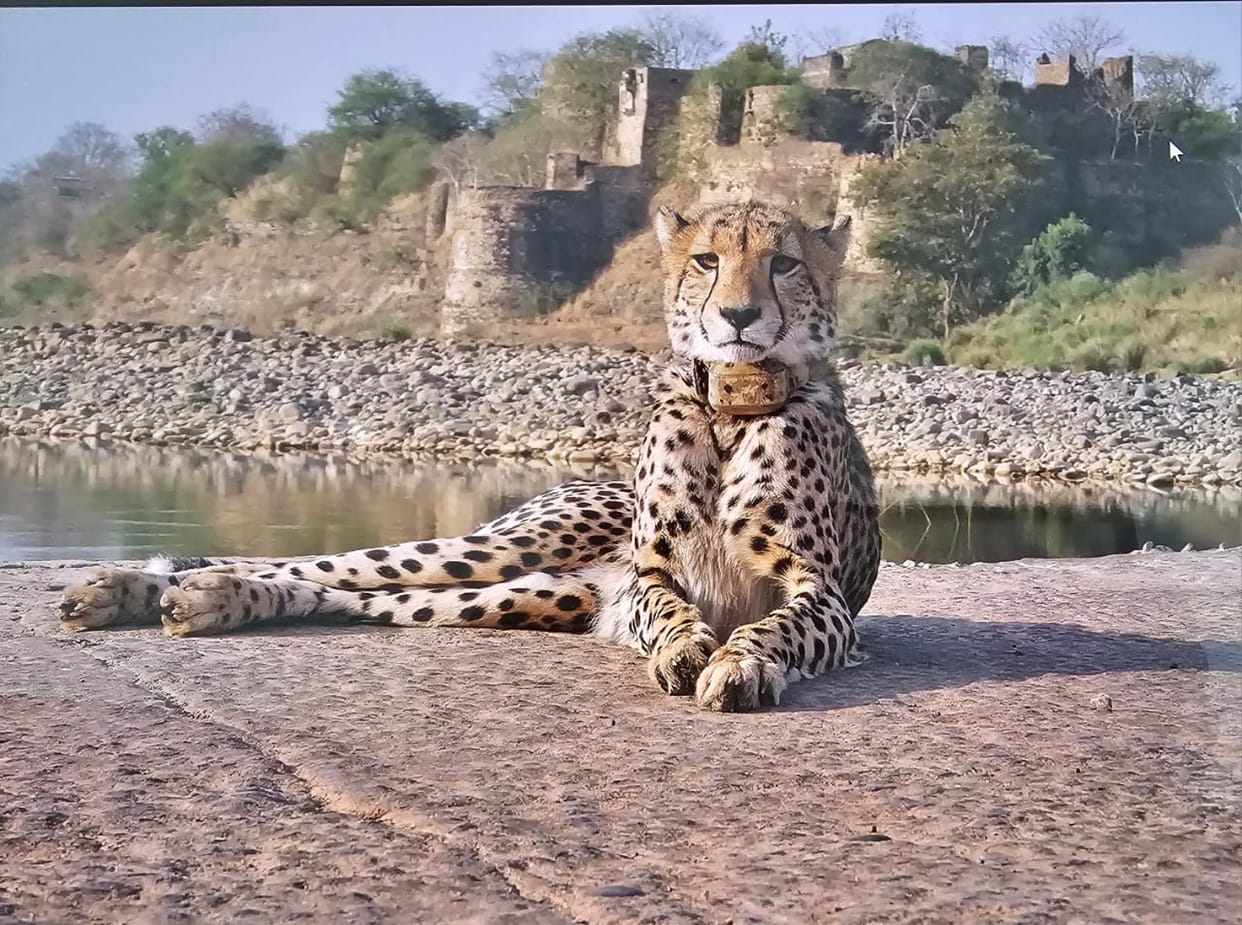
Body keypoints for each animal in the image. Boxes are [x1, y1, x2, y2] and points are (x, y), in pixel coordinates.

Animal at [57, 199, 881, 713]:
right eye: (708, 259)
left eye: (783, 263)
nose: (738, 315)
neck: (728, 406)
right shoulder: (650, 577)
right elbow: (673, 612)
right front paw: (688, 648)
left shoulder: (822, 591)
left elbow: (772, 625)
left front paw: (740, 660)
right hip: (508, 549)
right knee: (324, 564)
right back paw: (130, 585)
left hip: (541, 593)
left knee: (348, 595)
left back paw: (205, 598)